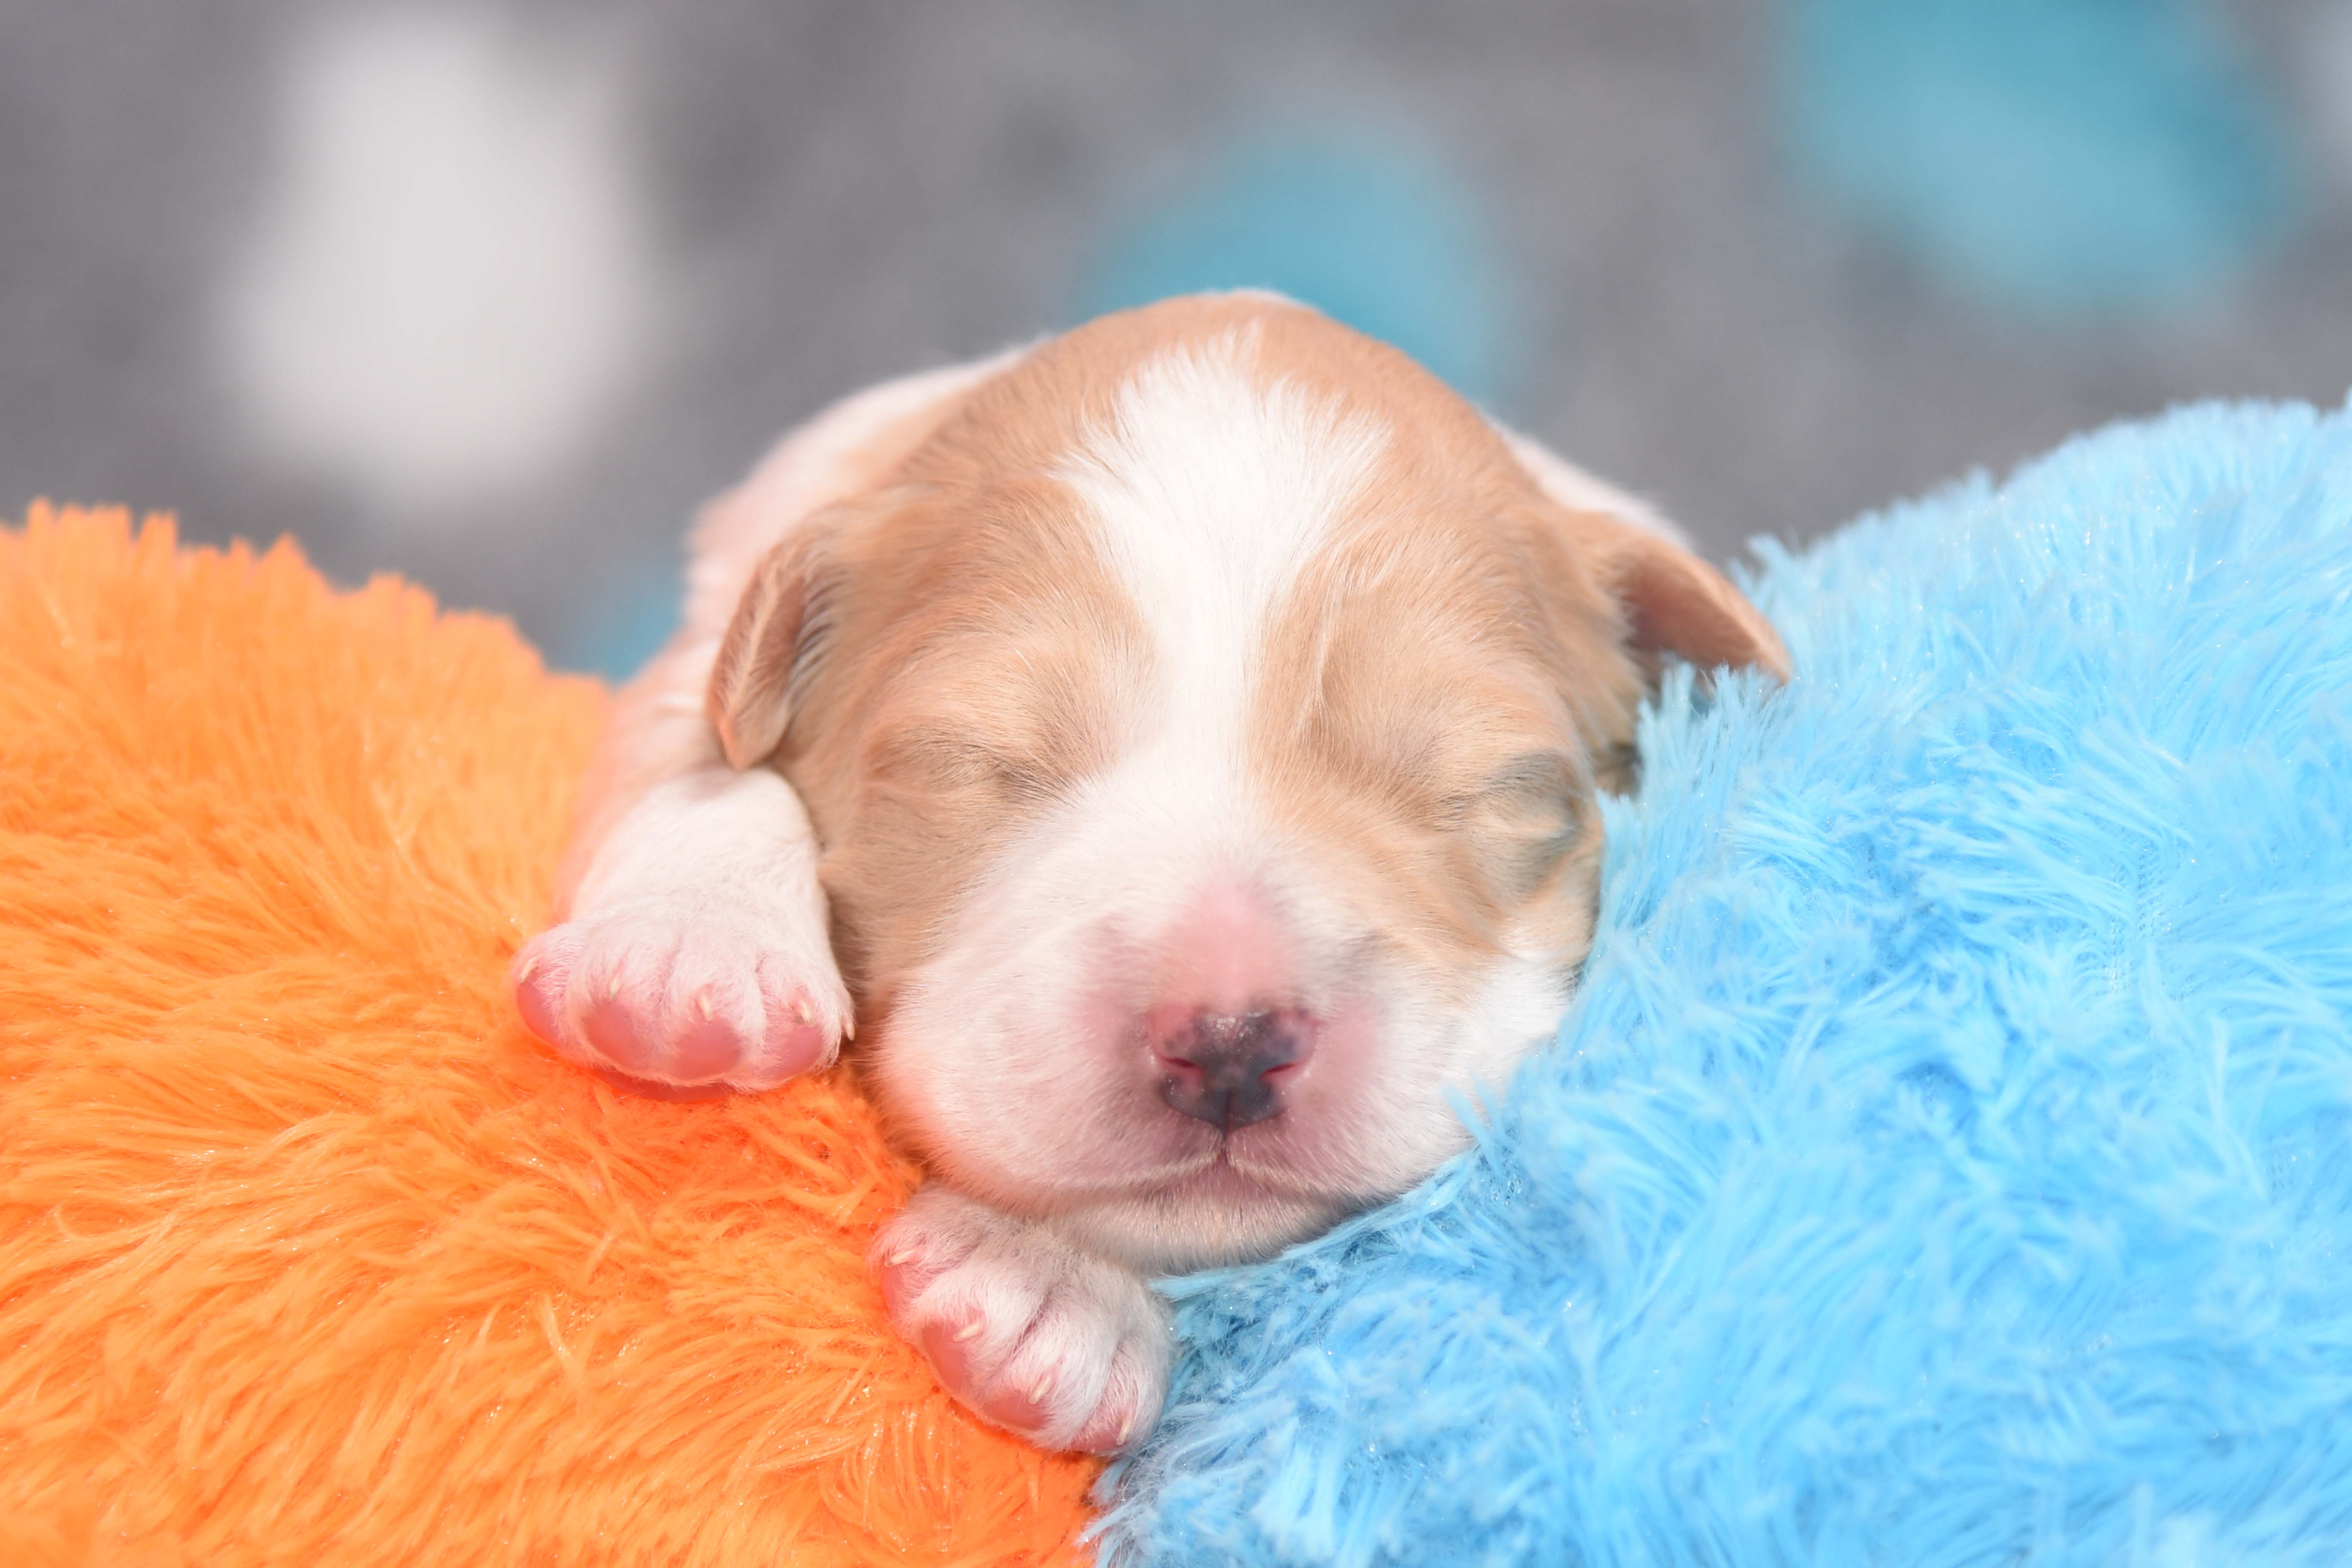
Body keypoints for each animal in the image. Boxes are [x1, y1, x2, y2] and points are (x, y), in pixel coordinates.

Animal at [511, 292, 1788, 1453]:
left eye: (1494, 789)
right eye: (968, 761)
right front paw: (688, 957)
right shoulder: (708, 634)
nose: (1229, 1043)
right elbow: (709, 766)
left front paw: (1041, 1284)